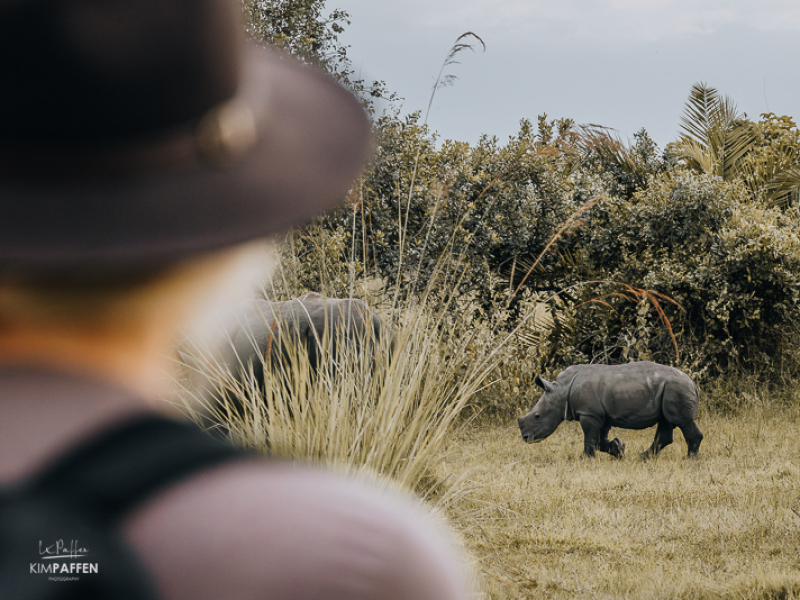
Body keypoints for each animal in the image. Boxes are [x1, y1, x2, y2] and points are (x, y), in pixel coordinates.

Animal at [520, 360, 700, 460]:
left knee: (681, 421)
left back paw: (689, 459)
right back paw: (643, 457)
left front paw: (584, 459)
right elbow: (600, 440)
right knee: (665, 422)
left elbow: (590, 437)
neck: (561, 391)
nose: (525, 438)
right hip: (669, 389)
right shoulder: (601, 414)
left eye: (537, 416)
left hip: (676, 388)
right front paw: (619, 449)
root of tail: (693, 383)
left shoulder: (589, 413)